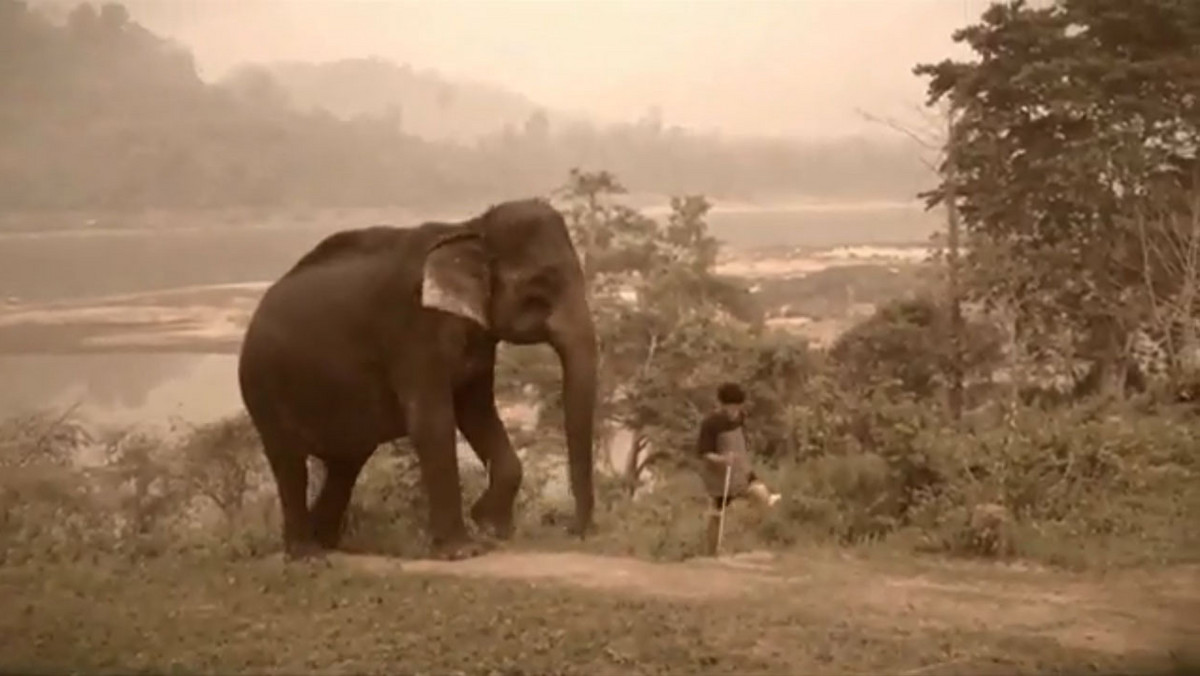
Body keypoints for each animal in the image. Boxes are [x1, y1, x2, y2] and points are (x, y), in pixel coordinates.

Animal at [240, 199, 600, 561]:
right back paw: (308, 554)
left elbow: (478, 413)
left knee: (347, 462)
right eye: (539, 288)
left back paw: (327, 541)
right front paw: (464, 551)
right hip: (261, 384)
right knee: (290, 463)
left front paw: (491, 528)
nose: (571, 530)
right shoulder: (412, 332)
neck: (471, 229)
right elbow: (433, 422)